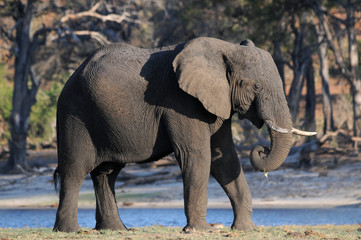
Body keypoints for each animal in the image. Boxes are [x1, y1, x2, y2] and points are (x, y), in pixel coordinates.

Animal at [52, 37, 314, 232]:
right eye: (256, 87)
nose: (261, 149)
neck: (225, 48)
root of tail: (72, 76)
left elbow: (224, 158)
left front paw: (246, 229)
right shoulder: (181, 102)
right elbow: (197, 155)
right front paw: (200, 230)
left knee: (107, 173)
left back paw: (116, 230)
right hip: (75, 114)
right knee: (75, 170)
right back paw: (70, 230)